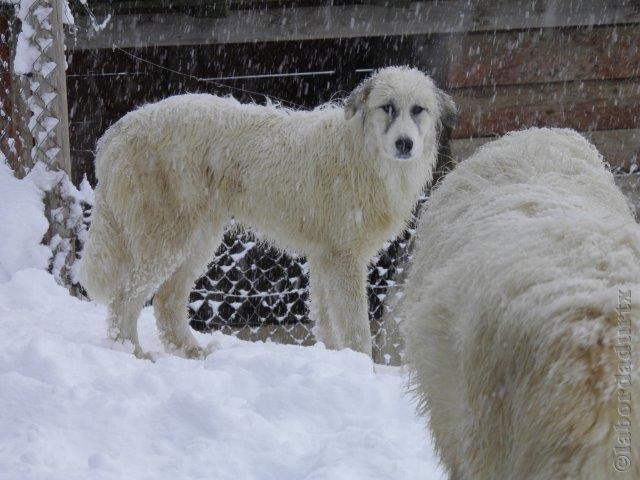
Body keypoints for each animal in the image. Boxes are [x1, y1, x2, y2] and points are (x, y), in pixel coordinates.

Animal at [77, 65, 456, 358]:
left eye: (418, 110)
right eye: (387, 107)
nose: (405, 144)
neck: (363, 152)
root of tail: (118, 129)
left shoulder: (326, 257)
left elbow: (327, 321)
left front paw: (337, 361)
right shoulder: (345, 260)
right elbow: (356, 329)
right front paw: (362, 370)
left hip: (198, 240)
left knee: (166, 300)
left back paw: (191, 352)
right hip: (168, 240)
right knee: (125, 298)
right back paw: (133, 353)